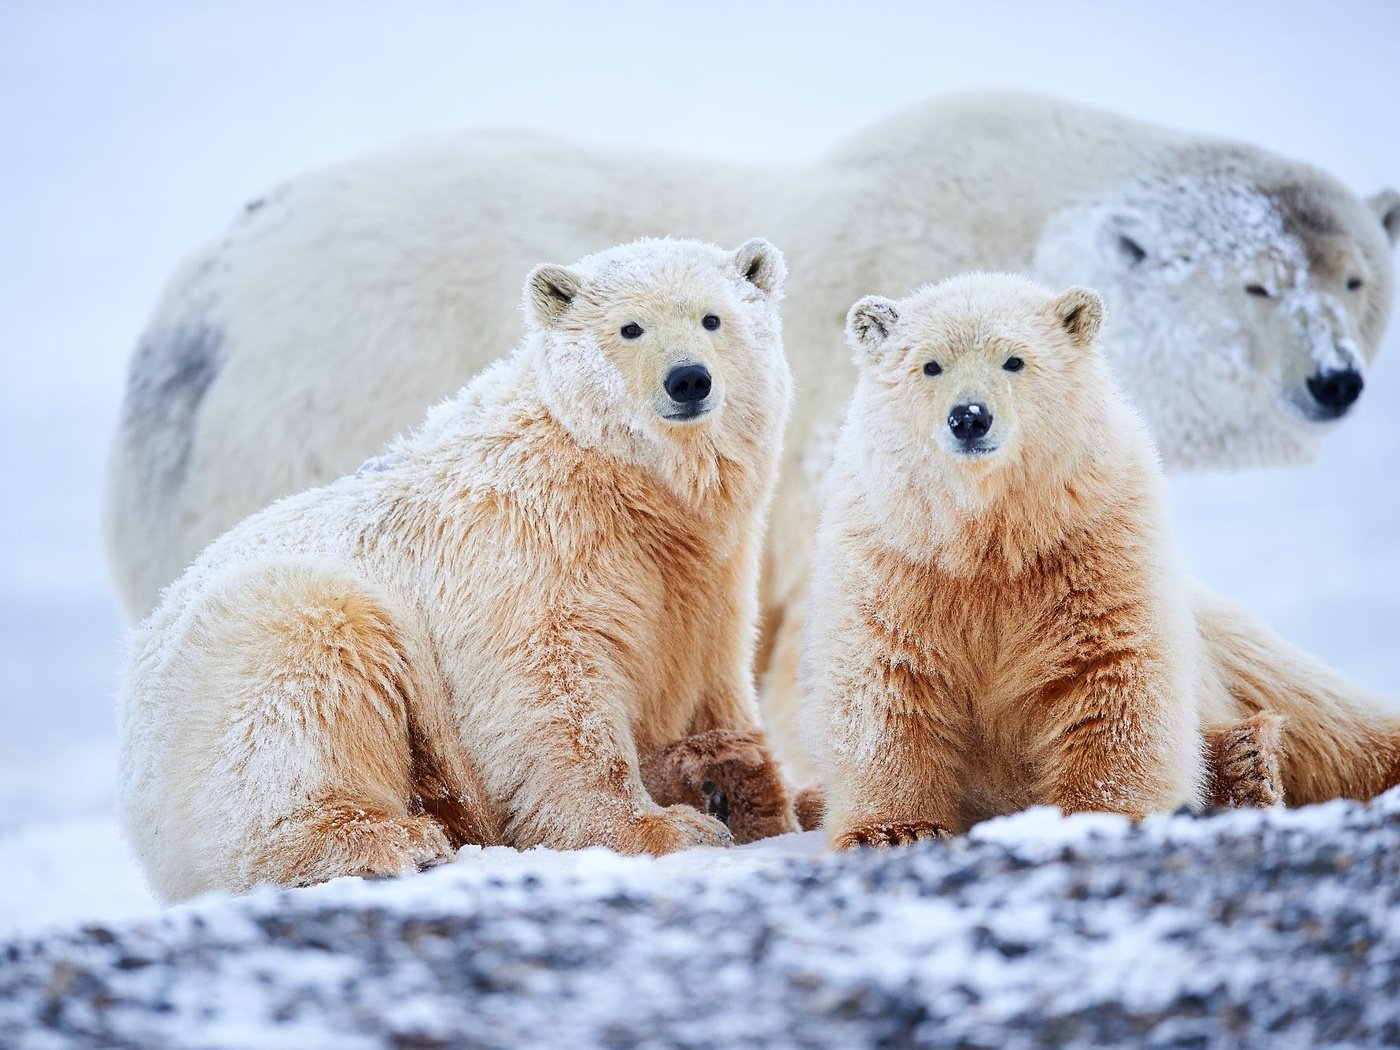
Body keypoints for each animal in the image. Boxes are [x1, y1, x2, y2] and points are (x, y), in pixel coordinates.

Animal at [103, 88, 1394, 784]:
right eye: (1256, 286)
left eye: (1353, 275)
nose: (1334, 382)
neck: (1025, 216)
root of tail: (194, 306)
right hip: (312, 404)